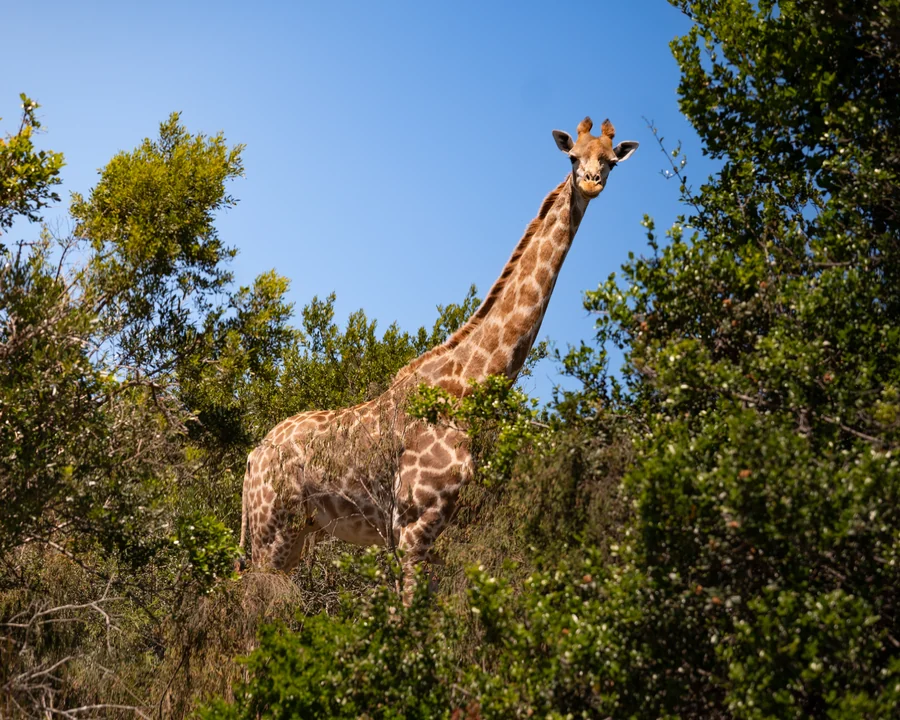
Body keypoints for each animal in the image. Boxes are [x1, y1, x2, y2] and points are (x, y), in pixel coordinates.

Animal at [239, 116, 638, 598]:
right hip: (271, 531)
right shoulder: (414, 525)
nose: (592, 183)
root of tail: (252, 457)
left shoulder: (432, 531)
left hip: (297, 533)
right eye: (573, 157)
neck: (467, 385)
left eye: (611, 161)